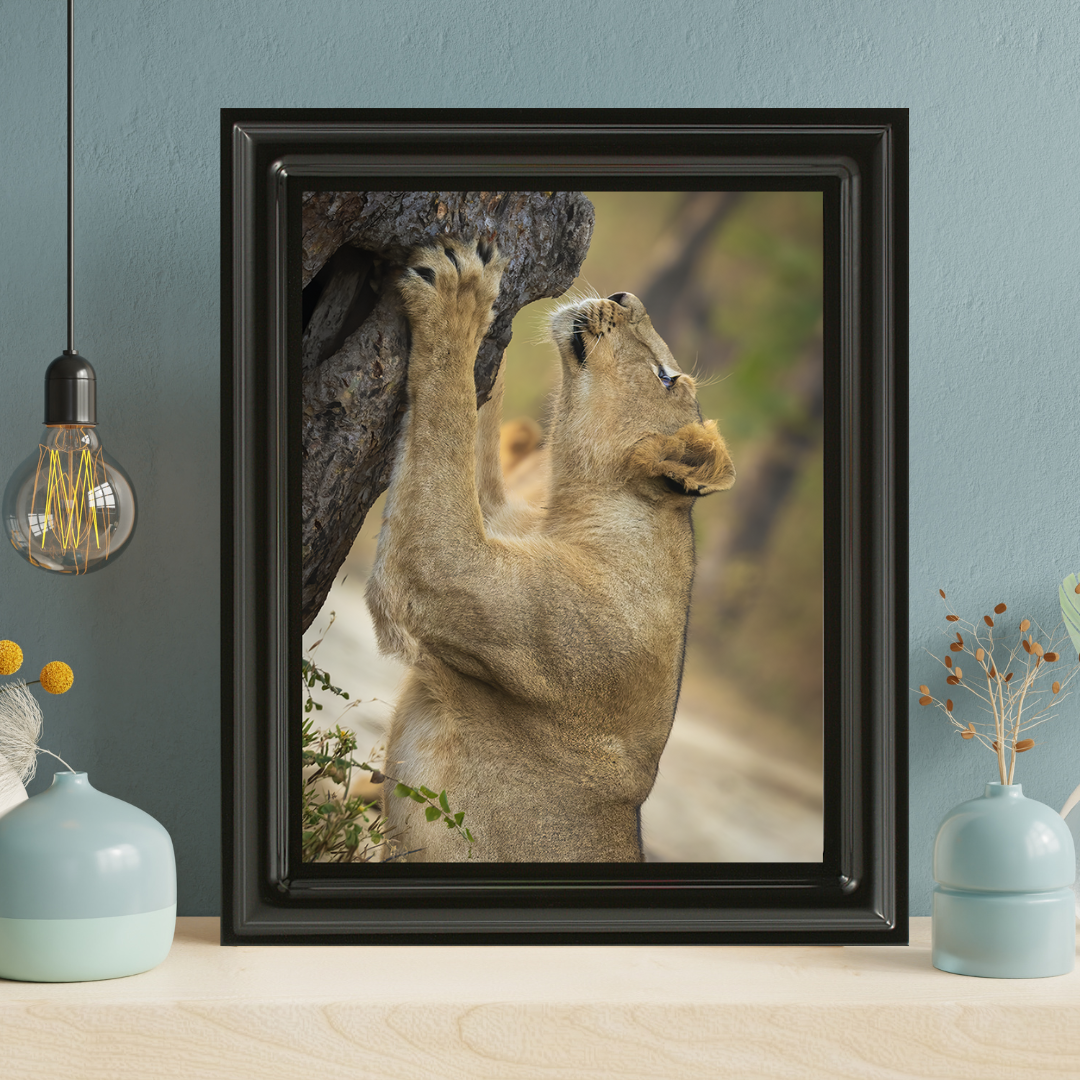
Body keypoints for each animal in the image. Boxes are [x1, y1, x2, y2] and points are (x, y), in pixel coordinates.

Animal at [364, 236, 735, 861]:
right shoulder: (495, 513)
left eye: (666, 378)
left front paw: (460, 299)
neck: (567, 513)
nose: (624, 296)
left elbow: (449, 418)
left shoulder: (448, 573)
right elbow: (470, 428)